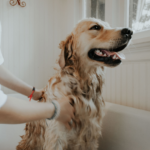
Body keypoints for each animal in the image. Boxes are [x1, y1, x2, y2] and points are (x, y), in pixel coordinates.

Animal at [17, 17, 133, 150]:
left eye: (108, 25)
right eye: (96, 27)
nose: (129, 31)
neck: (82, 85)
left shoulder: (91, 136)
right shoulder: (56, 138)